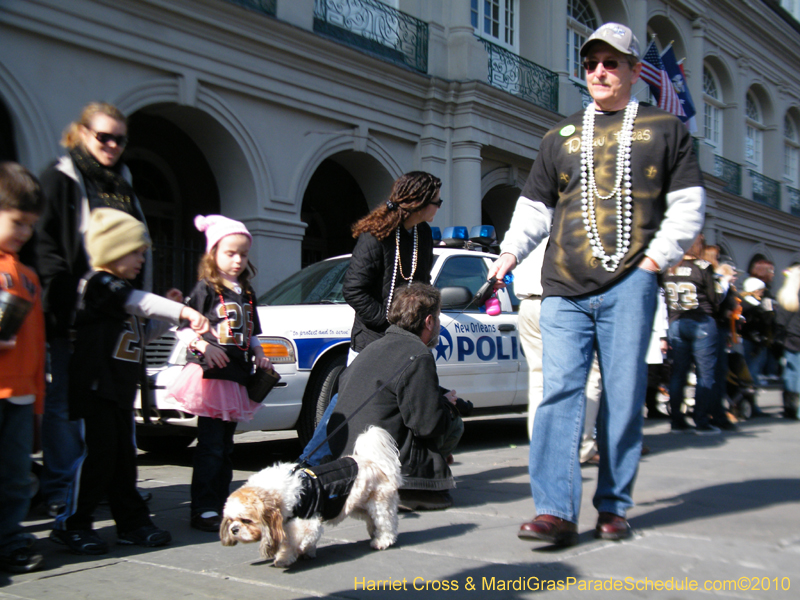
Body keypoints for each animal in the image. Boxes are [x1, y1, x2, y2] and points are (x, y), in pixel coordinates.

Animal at [220, 426, 400, 568]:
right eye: (230, 520)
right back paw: (374, 532)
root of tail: (375, 462)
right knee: (372, 519)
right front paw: (308, 552)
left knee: (386, 523)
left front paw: (285, 557)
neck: (276, 492)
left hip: (379, 504)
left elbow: (291, 541)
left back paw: (382, 540)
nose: (234, 529)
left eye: (246, 520)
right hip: (359, 506)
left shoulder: (305, 522)